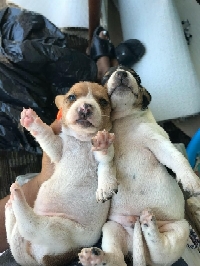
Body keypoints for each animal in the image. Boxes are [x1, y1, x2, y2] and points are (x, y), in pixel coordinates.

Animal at [5, 81, 117, 266]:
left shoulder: (104, 157)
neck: (81, 140)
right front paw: (33, 121)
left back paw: (15, 198)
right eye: (71, 97)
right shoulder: (57, 150)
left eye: (103, 101)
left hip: (58, 228)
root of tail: (44, 259)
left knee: (30, 225)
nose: (86, 106)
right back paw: (11, 207)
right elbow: (46, 136)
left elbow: (106, 160)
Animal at [79, 66, 200, 266]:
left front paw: (191, 179)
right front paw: (105, 187)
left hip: (180, 229)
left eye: (136, 76)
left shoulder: (158, 142)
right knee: (117, 259)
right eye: (106, 75)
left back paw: (148, 223)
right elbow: (105, 165)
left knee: (160, 248)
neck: (124, 121)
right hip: (111, 228)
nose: (121, 73)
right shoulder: (104, 152)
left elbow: (176, 158)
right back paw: (95, 257)